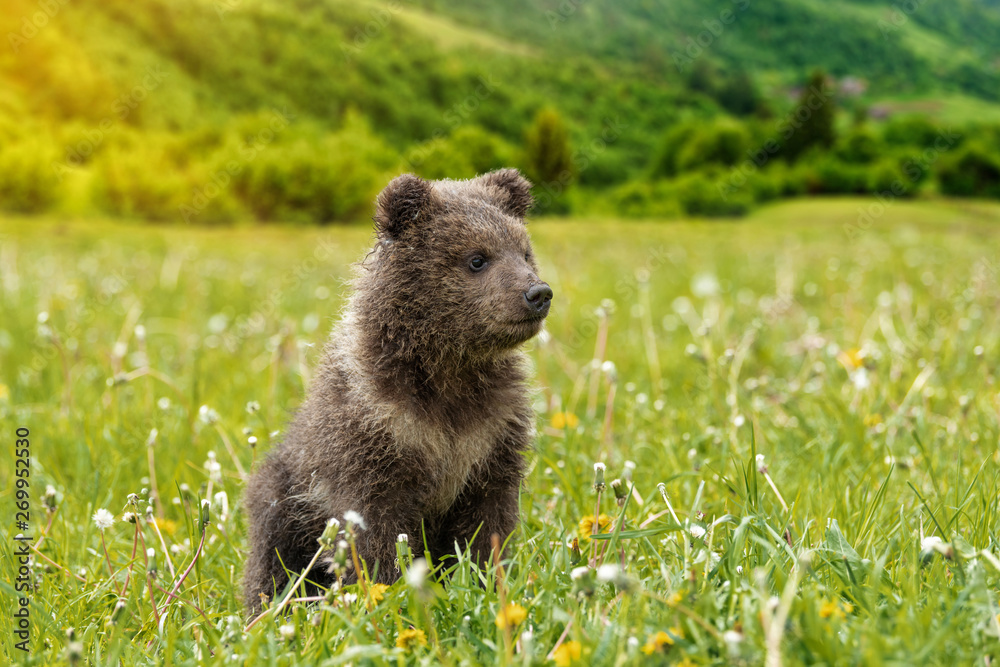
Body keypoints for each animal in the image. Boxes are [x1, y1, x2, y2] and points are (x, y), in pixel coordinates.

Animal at [242, 168, 552, 614]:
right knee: (272, 551)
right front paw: (386, 595)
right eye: (477, 258)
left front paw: (487, 584)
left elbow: (488, 524)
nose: (537, 293)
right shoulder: (377, 433)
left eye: (524, 252)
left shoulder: (492, 434)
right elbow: (375, 533)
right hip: (287, 494)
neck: (448, 370)